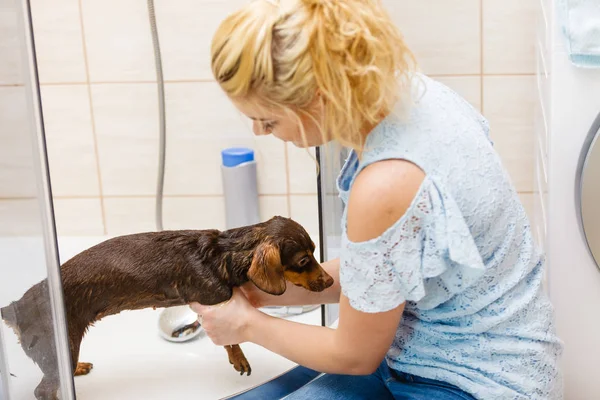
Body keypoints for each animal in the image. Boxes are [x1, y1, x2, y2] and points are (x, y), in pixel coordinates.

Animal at [0, 217, 332, 398]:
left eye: (316, 251)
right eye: (304, 260)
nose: (330, 281)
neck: (221, 254)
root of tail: (16, 307)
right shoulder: (214, 299)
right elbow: (232, 341)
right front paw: (239, 359)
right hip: (59, 345)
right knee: (43, 389)